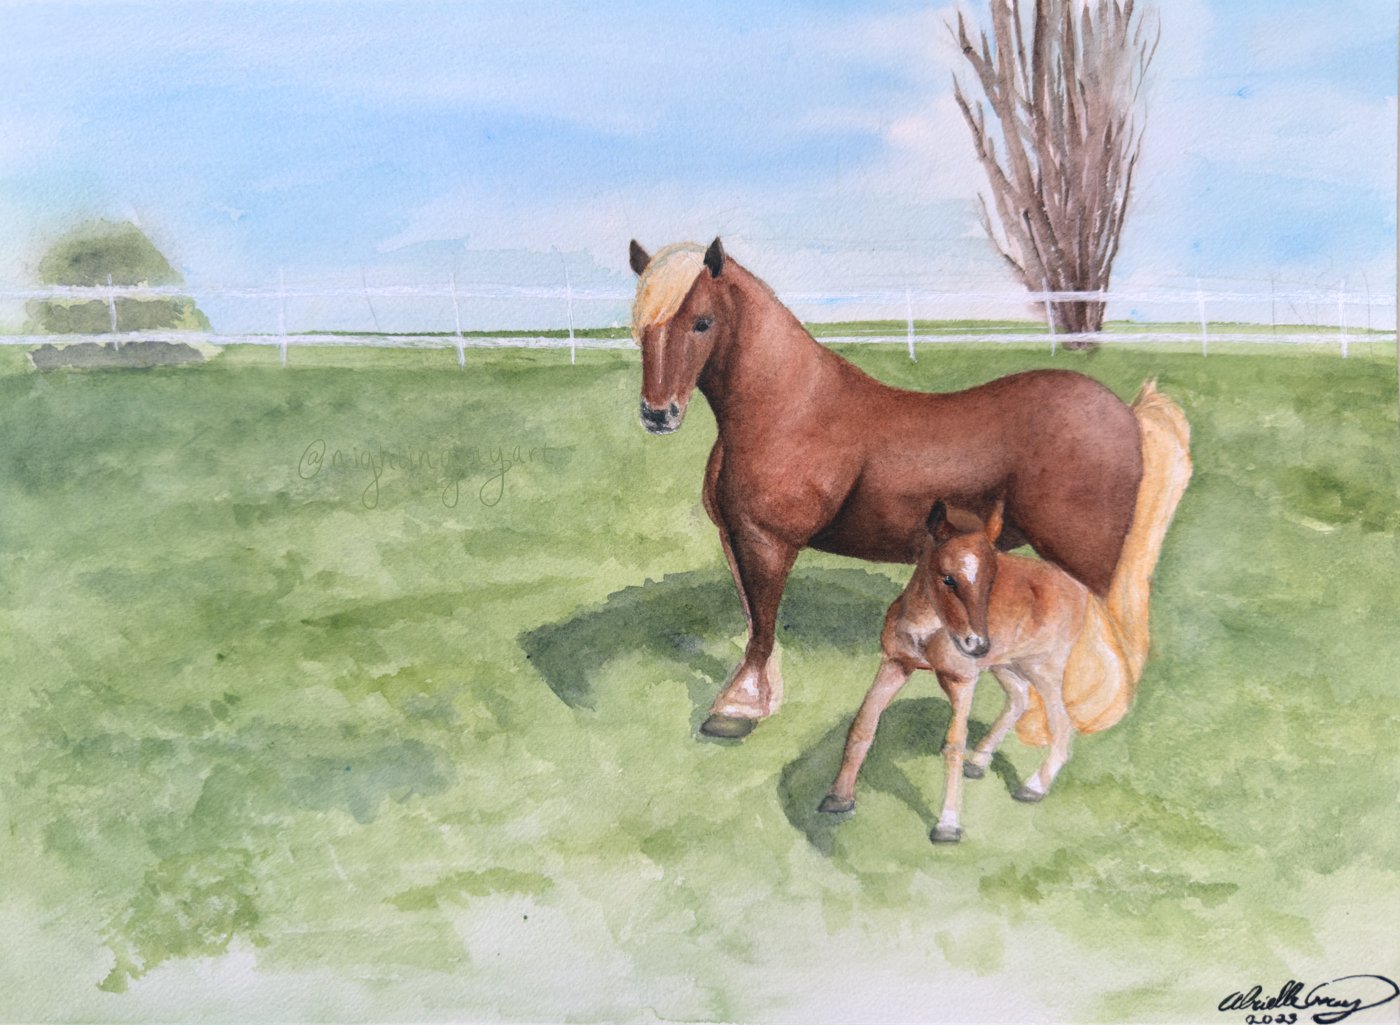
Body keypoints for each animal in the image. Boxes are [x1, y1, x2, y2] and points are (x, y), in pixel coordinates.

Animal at [628, 237, 1144, 739]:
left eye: (703, 322)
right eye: (641, 328)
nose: (658, 414)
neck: (790, 408)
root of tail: (1124, 414)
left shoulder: (767, 542)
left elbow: (763, 626)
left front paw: (738, 710)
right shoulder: (735, 537)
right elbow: (757, 621)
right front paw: (757, 696)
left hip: (1085, 562)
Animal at [819, 382, 1192, 843]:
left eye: (992, 575)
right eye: (947, 578)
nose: (976, 644)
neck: (929, 629)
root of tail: (1079, 587)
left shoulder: (962, 681)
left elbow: (952, 743)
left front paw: (948, 825)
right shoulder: (895, 663)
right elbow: (863, 726)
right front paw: (837, 799)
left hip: (1042, 667)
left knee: (1061, 722)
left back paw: (1033, 786)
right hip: (1008, 665)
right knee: (1017, 699)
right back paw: (982, 762)